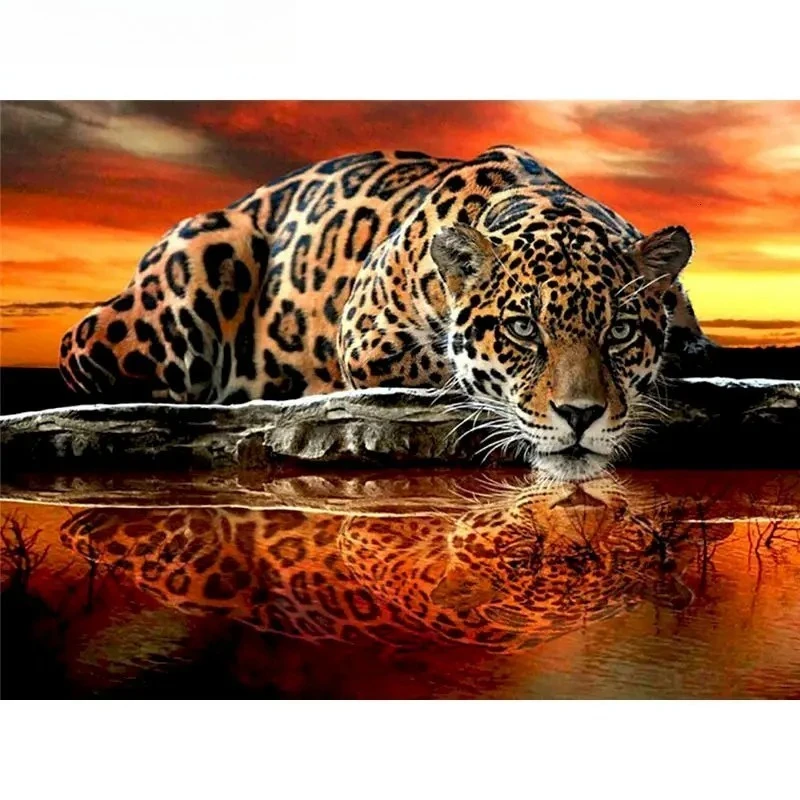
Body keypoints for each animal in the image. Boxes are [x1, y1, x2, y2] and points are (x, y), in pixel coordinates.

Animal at [59, 145, 707, 475]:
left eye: (619, 331)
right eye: (523, 329)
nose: (580, 416)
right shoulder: (368, 337)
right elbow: (447, 369)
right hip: (202, 257)